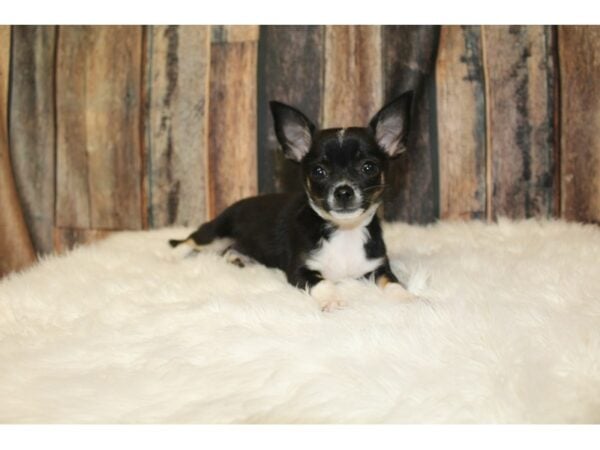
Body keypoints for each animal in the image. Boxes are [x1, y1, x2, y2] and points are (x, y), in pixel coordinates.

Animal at [168, 90, 412, 310]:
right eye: (318, 172)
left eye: (369, 168)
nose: (343, 191)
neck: (344, 232)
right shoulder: (300, 271)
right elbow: (323, 283)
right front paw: (333, 299)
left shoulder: (379, 267)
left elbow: (393, 283)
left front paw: (406, 298)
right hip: (216, 233)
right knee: (190, 241)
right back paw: (173, 256)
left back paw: (238, 258)